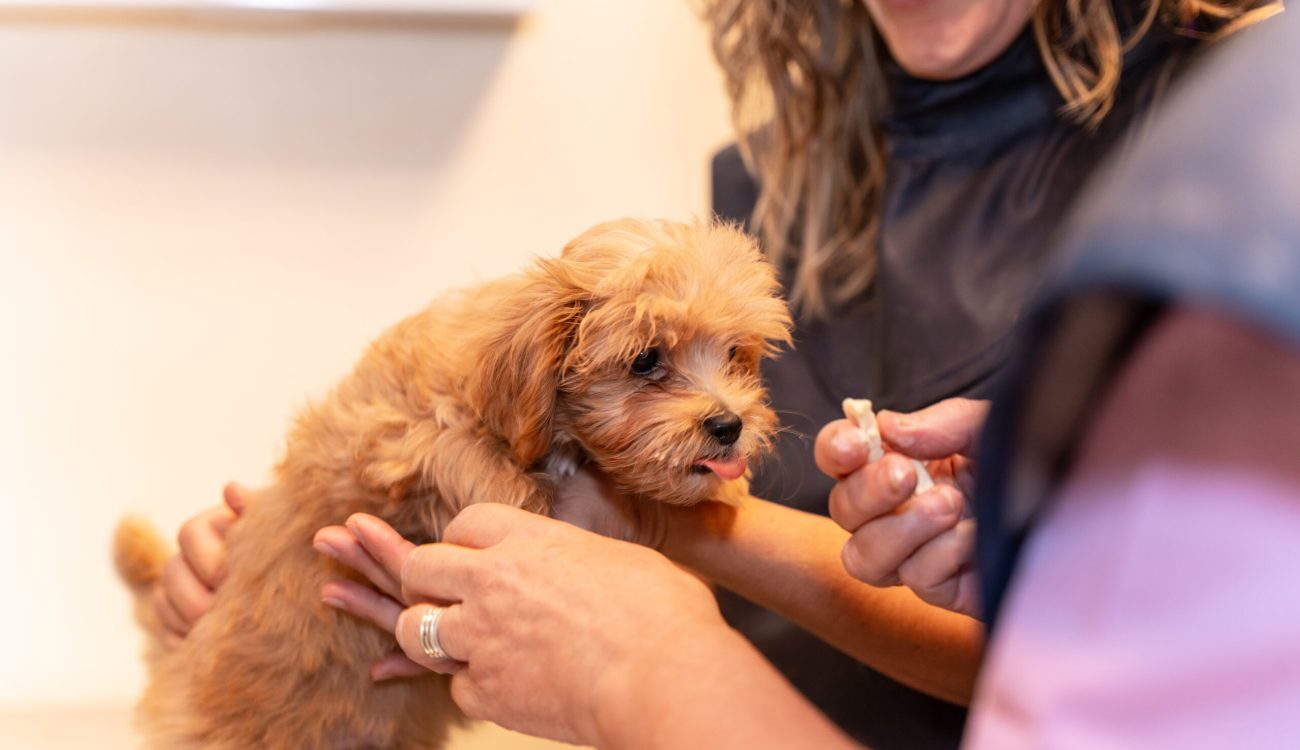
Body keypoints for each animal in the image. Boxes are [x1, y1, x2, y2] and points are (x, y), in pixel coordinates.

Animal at [114, 218, 790, 748]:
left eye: (736, 354)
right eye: (646, 360)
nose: (729, 425)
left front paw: (725, 489)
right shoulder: (385, 436)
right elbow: (450, 449)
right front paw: (519, 493)